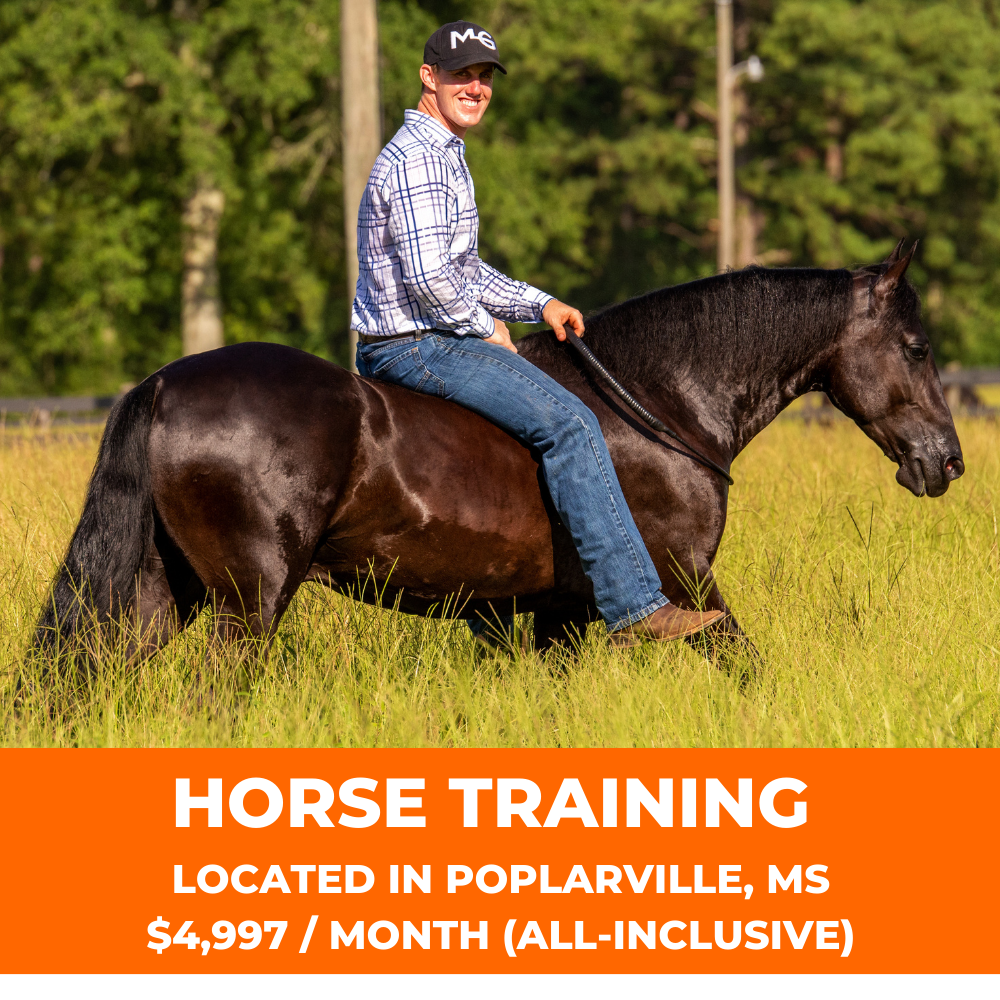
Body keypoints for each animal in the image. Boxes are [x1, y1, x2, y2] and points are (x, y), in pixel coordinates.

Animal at [33, 242, 964, 663]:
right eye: (916, 347)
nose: (949, 461)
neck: (661, 402)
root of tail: (164, 384)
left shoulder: (548, 622)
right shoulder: (684, 580)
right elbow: (744, 664)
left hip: (160, 594)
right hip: (248, 600)